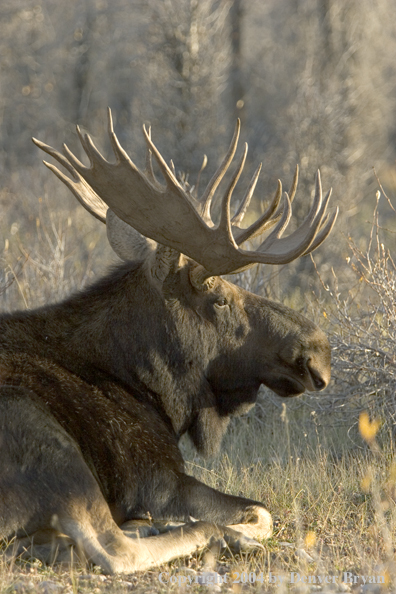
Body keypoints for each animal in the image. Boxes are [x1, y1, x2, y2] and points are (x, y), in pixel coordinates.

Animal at [0, 108, 338, 572]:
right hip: (53, 447)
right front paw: (224, 528)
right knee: (114, 550)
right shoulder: (157, 479)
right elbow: (262, 511)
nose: (318, 352)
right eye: (219, 298)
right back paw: (209, 534)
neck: (153, 390)